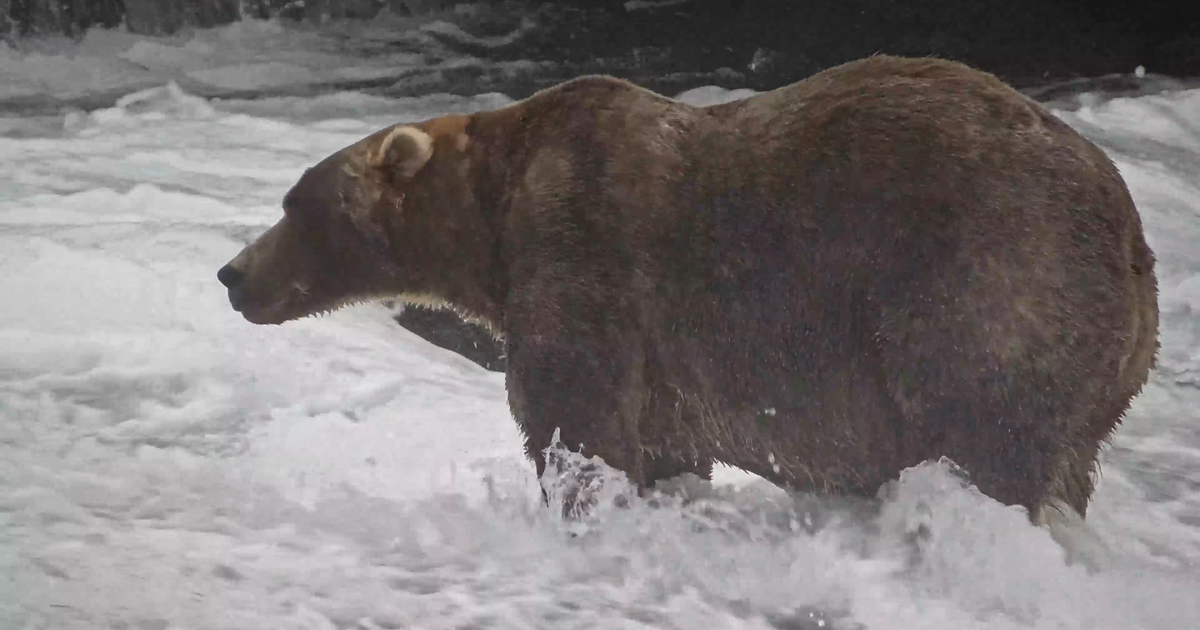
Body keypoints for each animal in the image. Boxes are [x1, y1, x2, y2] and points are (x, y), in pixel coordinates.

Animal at [217, 55, 1158, 523]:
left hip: (986, 280)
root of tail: (1131, 232)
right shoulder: (665, 361)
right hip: (1103, 367)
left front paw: (580, 504)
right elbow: (663, 443)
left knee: (984, 430)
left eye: (295, 203)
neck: (490, 219)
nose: (232, 274)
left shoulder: (583, 251)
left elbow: (575, 416)